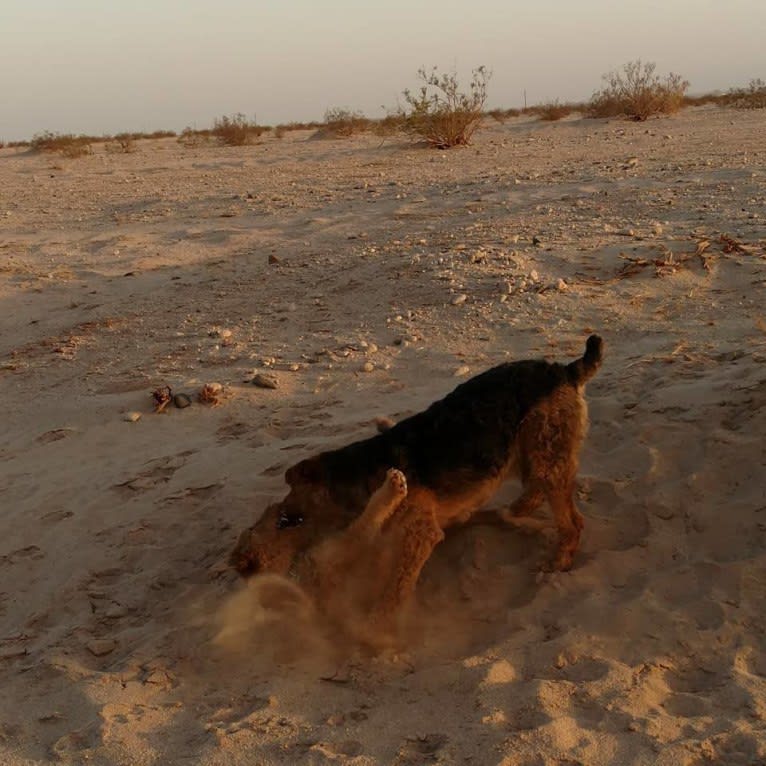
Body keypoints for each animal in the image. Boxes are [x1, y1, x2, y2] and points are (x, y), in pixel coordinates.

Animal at [231, 336, 604, 632]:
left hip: (545, 453)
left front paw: (380, 623)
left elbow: (396, 586)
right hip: (533, 454)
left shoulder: (418, 534)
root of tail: (564, 370)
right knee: (538, 494)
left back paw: (557, 560)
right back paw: (516, 511)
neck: (357, 478)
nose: (245, 559)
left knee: (572, 520)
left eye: (284, 518)